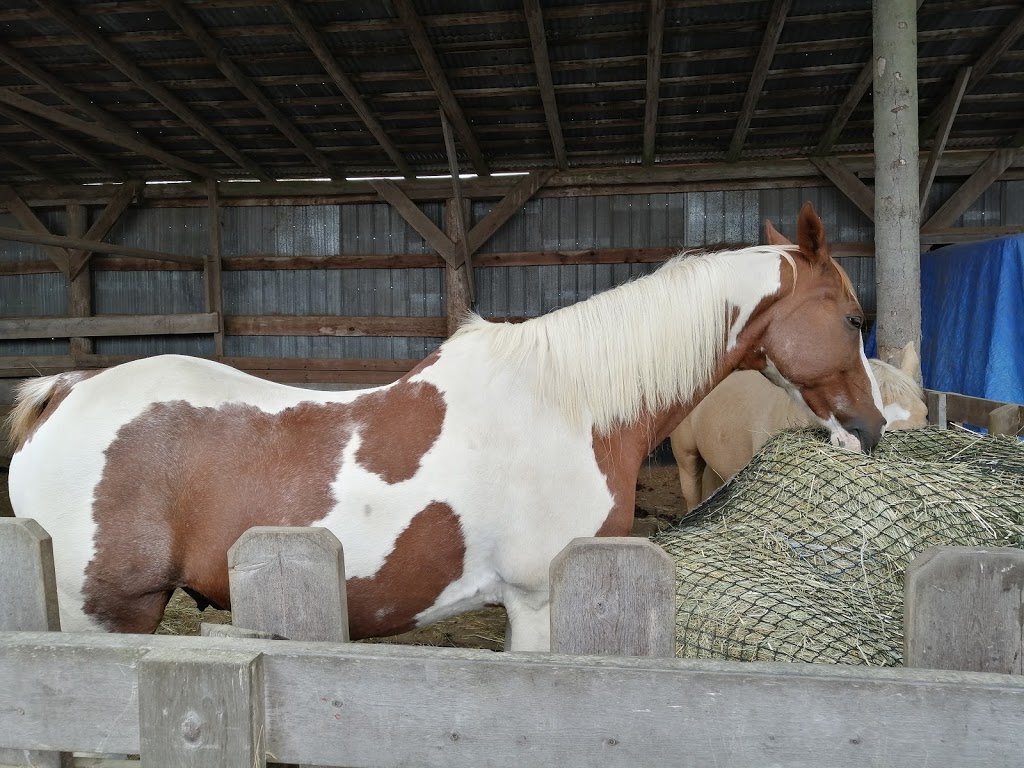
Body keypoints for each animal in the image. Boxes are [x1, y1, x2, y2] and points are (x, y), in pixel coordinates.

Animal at [4, 201, 884, 651]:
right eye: (851, 317)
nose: (873, 428)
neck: (569, 406)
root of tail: (67, 390)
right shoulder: (538, 602)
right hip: (108, 616)